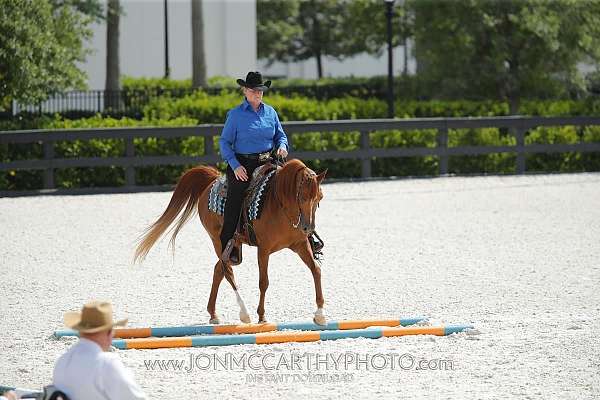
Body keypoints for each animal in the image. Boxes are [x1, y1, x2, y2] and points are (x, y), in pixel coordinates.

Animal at [134, 159, 328, 324]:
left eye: (319, 198)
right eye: (302, 197)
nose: (308, 228)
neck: (280, 204)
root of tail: (212, 181)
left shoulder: (300, 245)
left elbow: (316, 270)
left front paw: (320, 314)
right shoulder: (263, 249)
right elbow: (263, 282)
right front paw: (262, 316)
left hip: (233, 246)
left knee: (219, 270)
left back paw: (213, 314)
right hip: (219, 240)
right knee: (226, 271)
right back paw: (244, 312)